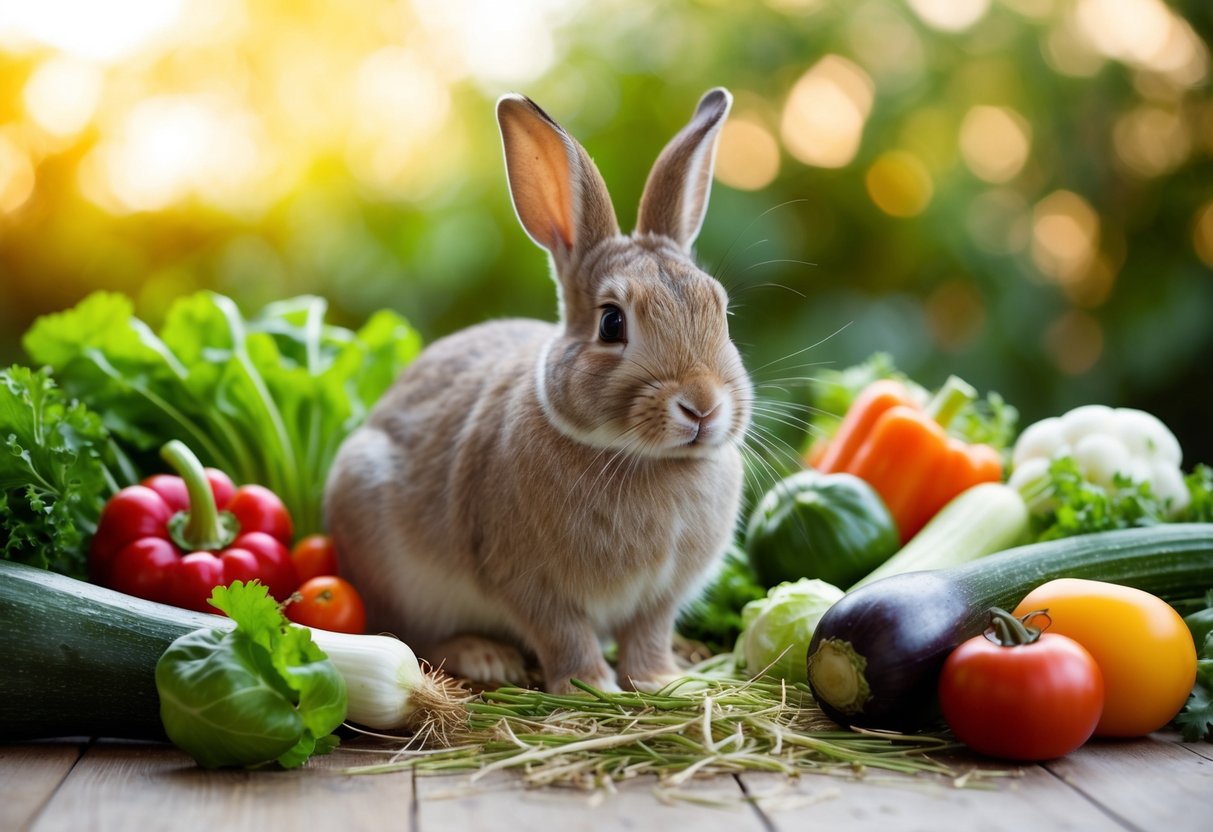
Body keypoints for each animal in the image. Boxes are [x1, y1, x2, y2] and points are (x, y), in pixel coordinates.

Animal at [324, 87, 752, 693]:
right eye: (612, 323)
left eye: (722, 311)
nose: (703, 406)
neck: (644, 459)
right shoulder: (529, 583)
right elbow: (564, 634)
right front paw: (592, 686)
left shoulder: (660, 597)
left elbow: (648, 634)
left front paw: (664, 681)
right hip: (387, 557)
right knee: (408, 635)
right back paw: (484, 657)